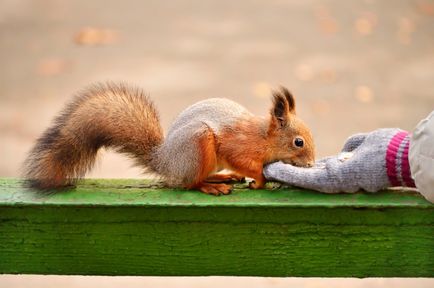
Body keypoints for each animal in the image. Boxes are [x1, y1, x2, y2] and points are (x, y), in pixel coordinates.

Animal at [22, 82, 316, 197]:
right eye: (298, 142)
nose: (312, 164)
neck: (263, 137)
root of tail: (164, 161)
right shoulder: (239, 146)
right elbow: (247, 163)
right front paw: (260, 179)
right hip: (197, 145)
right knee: (189, 183)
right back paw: (211, 186)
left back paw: (222, 177)